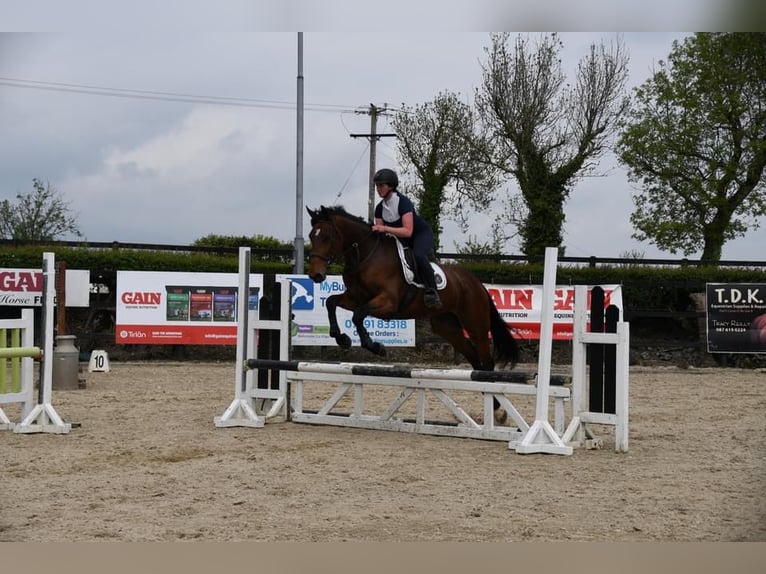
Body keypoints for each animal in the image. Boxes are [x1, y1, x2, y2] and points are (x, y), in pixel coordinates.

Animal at [306, 207, 520, 424]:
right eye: (311, 236)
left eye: (327, 236)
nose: (315, 275)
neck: (364, 256)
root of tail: (477, 283)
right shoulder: (353, 298)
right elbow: (331, 302)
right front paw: (341, 338)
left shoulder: (387, 302)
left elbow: (358, 316)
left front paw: (376, 347)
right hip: (447, 327)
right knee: (474, 360)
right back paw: (493, 405)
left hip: (476, 325)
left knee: (487, 363)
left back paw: (498, 411)